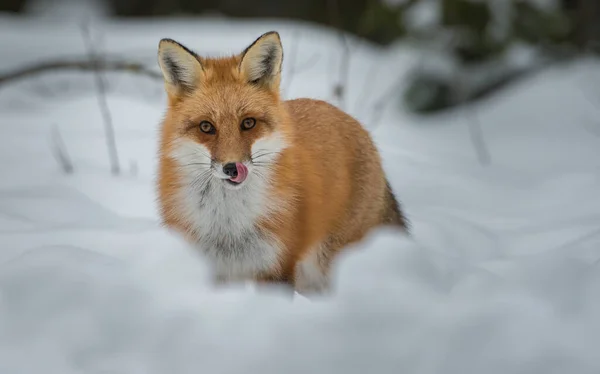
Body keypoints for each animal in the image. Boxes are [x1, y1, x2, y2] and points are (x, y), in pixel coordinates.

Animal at [156, 31, 408, 296]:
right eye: (206, 127)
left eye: (248, 123)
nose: (232, 168)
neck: (228, 226)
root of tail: (350, 119)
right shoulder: (214, 269)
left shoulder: (277, 267)